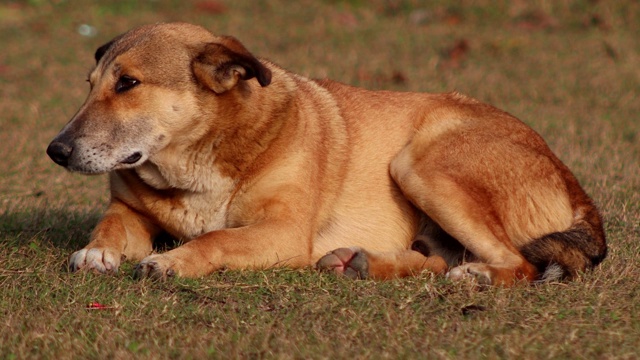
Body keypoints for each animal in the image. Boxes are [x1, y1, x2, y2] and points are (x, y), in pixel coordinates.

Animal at [45, 23, 604, 286]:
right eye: (90, 85)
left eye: (128, 84)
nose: (56, 150)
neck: (195, 163)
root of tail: (576, 188)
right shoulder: (127, 207)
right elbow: (110, 225)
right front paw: (98, 252)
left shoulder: (284, 232)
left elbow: (217, 239)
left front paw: (174, 260)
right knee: (436, 260)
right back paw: (362, 263)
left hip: (420, 165)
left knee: (519, 264)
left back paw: (480, 276)